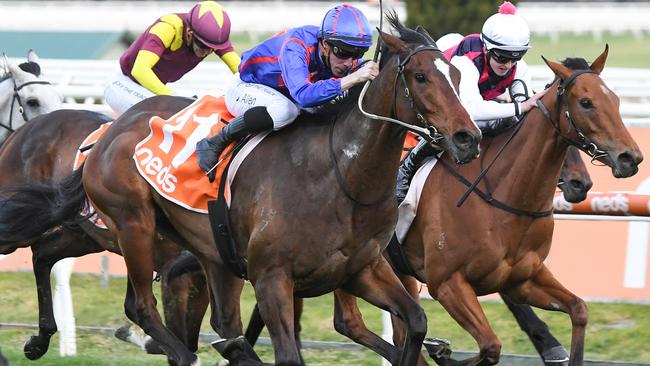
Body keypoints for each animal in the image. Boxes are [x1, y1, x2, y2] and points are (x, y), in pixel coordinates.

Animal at [0, 14, 478, 366]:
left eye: (457, 75)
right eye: (420, 76)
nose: (467, 139)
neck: (340, 176)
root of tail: (108, 134)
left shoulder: (362, 269)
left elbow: (415, 321)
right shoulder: (272, 279)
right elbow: (289, 353)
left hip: (202, 251)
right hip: (132, 226)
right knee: (141, 307)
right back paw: (183, 352)